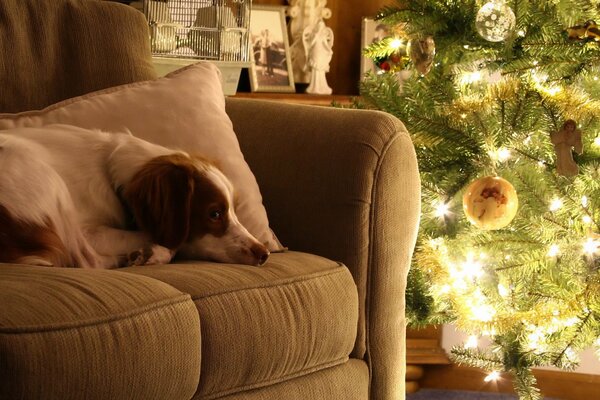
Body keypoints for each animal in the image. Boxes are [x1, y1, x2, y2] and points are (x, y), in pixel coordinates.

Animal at [0, 125, 270, 268]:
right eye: (214, 214)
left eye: (234, 209)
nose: (264, 253)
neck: (109, 173)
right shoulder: (89, 231)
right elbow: (170, 242)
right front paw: (152, 252)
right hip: (40, 174)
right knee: (88, 261)